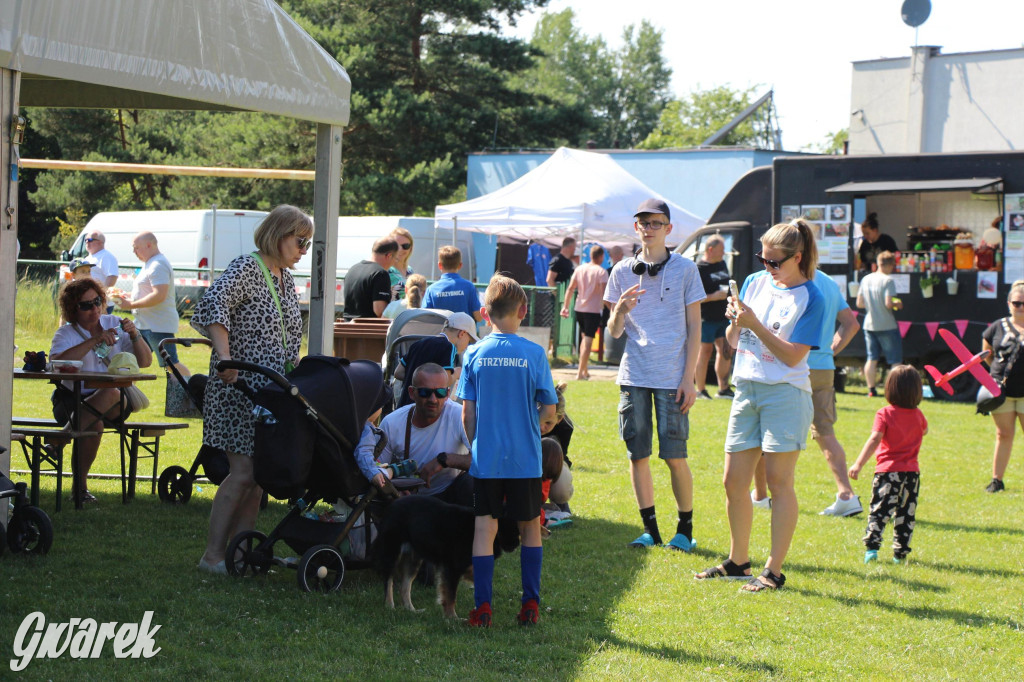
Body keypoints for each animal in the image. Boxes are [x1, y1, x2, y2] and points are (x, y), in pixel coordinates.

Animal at [372, 493, 520, 614]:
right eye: (513, 526)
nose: (516, 545)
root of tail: (390, 506)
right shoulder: (453, 568)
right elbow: (450, 596)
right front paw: (452, 618)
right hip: (392, 554)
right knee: (388, 581)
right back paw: (389, 606)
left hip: (413, 560)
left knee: (404, 587)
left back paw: (411, 610)